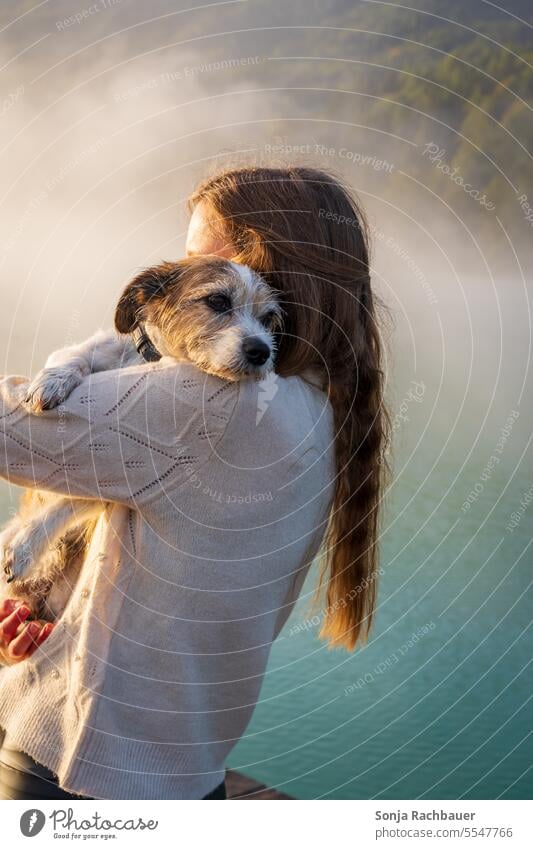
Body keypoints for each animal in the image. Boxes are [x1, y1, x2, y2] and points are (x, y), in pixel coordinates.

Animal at [0, 253, 280, 616]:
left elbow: (69, 502)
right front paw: (52, 381)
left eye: (268, 318)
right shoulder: (94, 350)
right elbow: (74, 356)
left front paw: (23, 547)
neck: (155, 359)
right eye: (218, 301)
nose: (262, 351)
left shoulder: (112, 486)